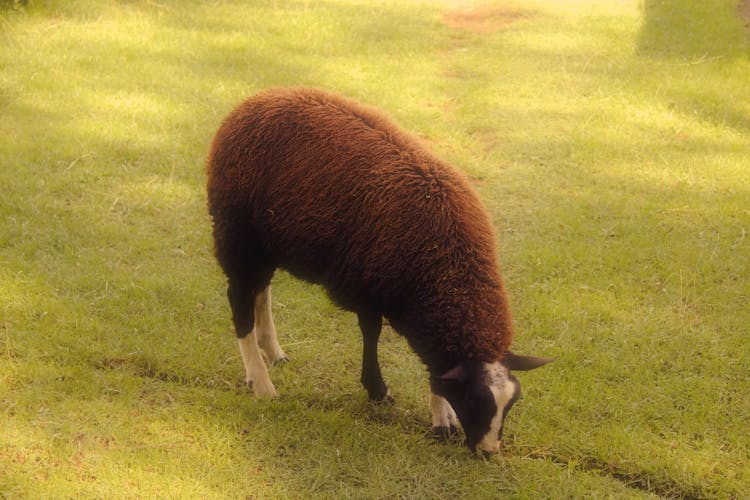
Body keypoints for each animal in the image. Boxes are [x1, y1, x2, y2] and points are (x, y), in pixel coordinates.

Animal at [206, 88, 552, 456]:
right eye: (474, 401)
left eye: (511, 404)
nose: (488, 453)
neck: (445, 267)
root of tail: (258, 99)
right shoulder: (366, 288)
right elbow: (371, 335)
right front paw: (378, 390)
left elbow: (436, 366)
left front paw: (441, 418)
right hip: (236, 231)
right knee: (240, 300)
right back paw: (261, 383)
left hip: (266, 242)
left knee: (261, 290)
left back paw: (272, 352)